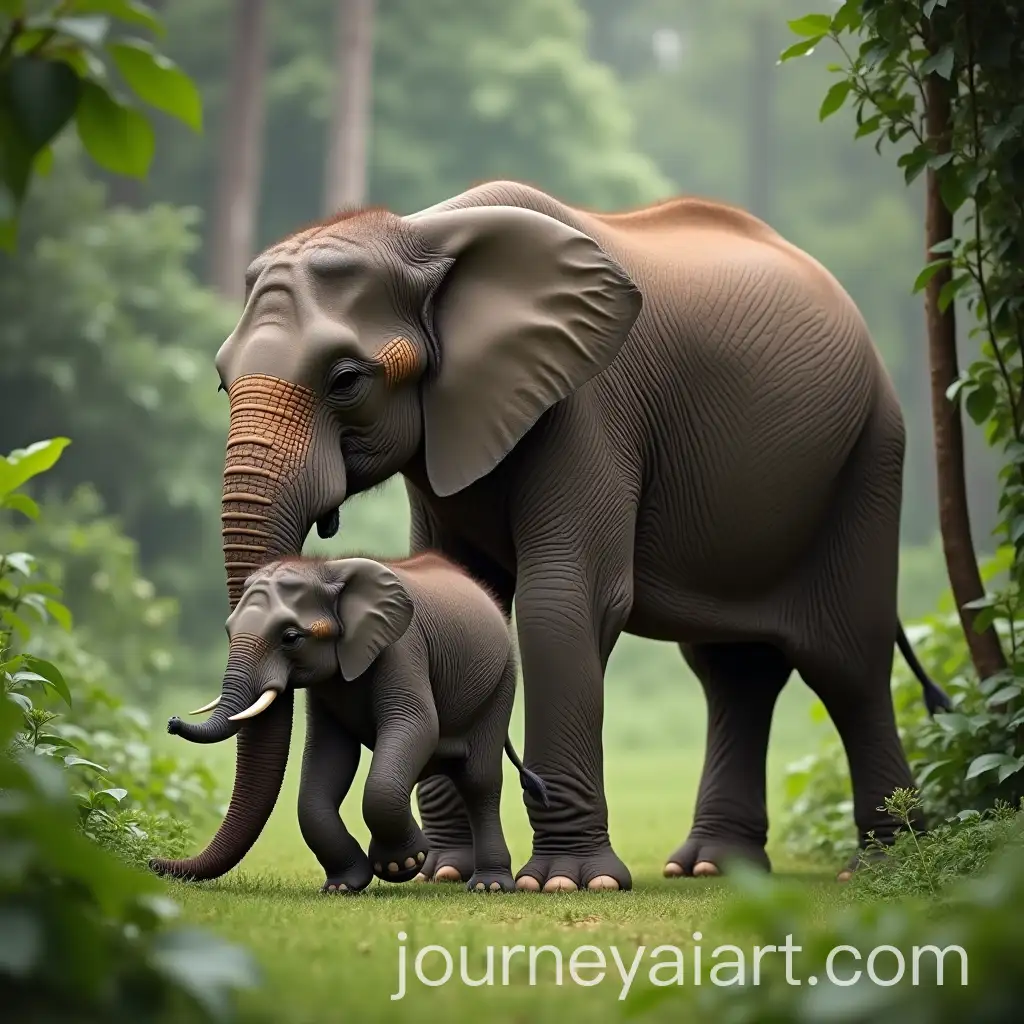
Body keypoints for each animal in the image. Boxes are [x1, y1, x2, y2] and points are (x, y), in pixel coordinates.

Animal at [150, 553, 548, 892]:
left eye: (291, 637)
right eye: (229, 632)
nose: (171, 721)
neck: (328, 568)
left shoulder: (403, 647)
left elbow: (415, 724)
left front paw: (402, 865)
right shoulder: (326, 687)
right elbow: (328, 758)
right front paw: (343, 886)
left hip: (502, 681)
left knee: (478, 780)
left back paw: (489, 886)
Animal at [202, 178, 951, 894]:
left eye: (346, 380)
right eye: (221, 382)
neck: (423, 231)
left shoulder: (590, 403)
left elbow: (562, 601)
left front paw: (565, 881)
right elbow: (453, 581)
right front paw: (444, 871)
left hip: (870, 454)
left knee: (845, 660)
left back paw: (879, 866)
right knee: (734, 671)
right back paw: (711, 869)